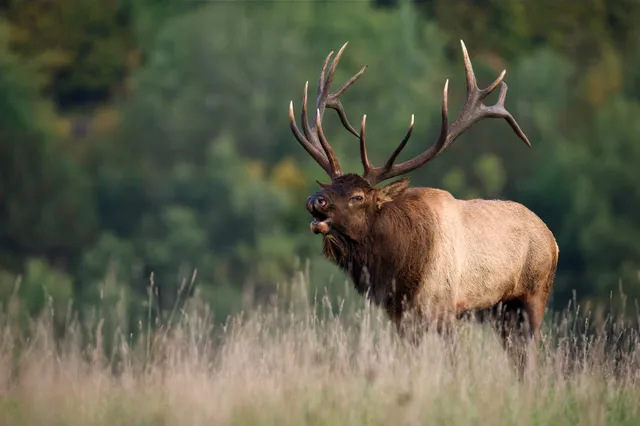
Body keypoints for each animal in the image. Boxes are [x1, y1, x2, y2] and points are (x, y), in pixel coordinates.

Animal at [287, 40, 559, 371]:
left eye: (358, 197)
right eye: (327, 186)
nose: (315, 200)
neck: (401, 267)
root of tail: (553, 240)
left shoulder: (444, 308)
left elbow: (453, 362)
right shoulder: (400, 317)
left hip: (534, 294)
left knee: (530, 357)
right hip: (501, 311)